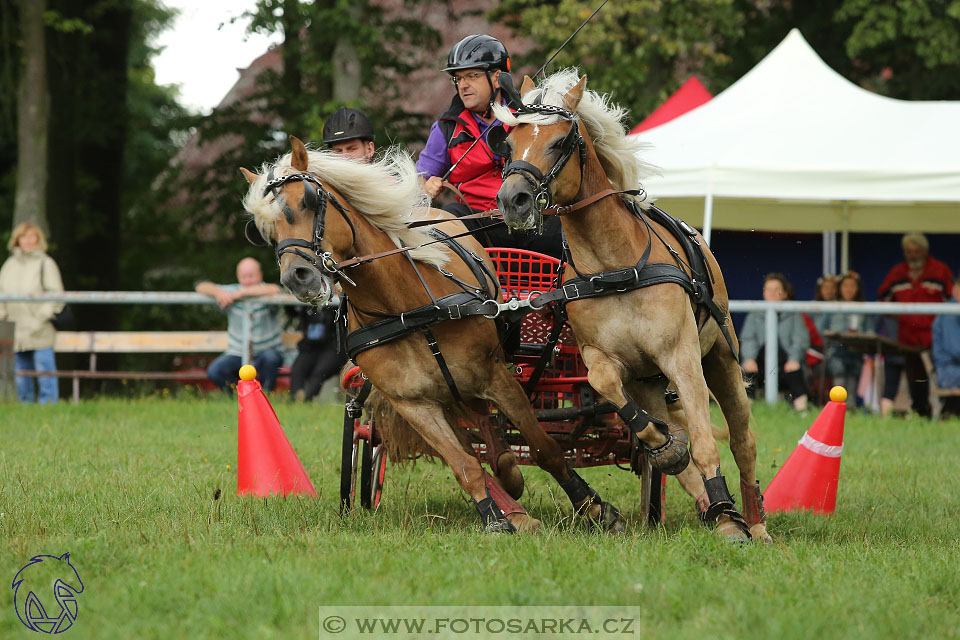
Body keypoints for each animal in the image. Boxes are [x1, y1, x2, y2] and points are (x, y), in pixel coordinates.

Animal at [240, 139, 628, 536]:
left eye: (309, 200)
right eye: (265, 228)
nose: (297, 277)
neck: (406, 310)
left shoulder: (495, 376)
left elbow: (545, 447)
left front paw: (594, 508)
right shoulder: (414, 404)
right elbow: (465, 465)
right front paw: (496, 518)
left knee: (491, 427)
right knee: (477, 436)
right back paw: (512, 500)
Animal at [496, 69, 772, 540]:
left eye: (559, 142)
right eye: (509, 143)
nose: (512, 200)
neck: (615, 267)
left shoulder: (681, 356)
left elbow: (704, 439)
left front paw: (727, 518)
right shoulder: (601, 356)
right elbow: (608, 385)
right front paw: (664, 447)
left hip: (720, 358)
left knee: (742, 440)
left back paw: (751, 521)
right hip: (648, 380)